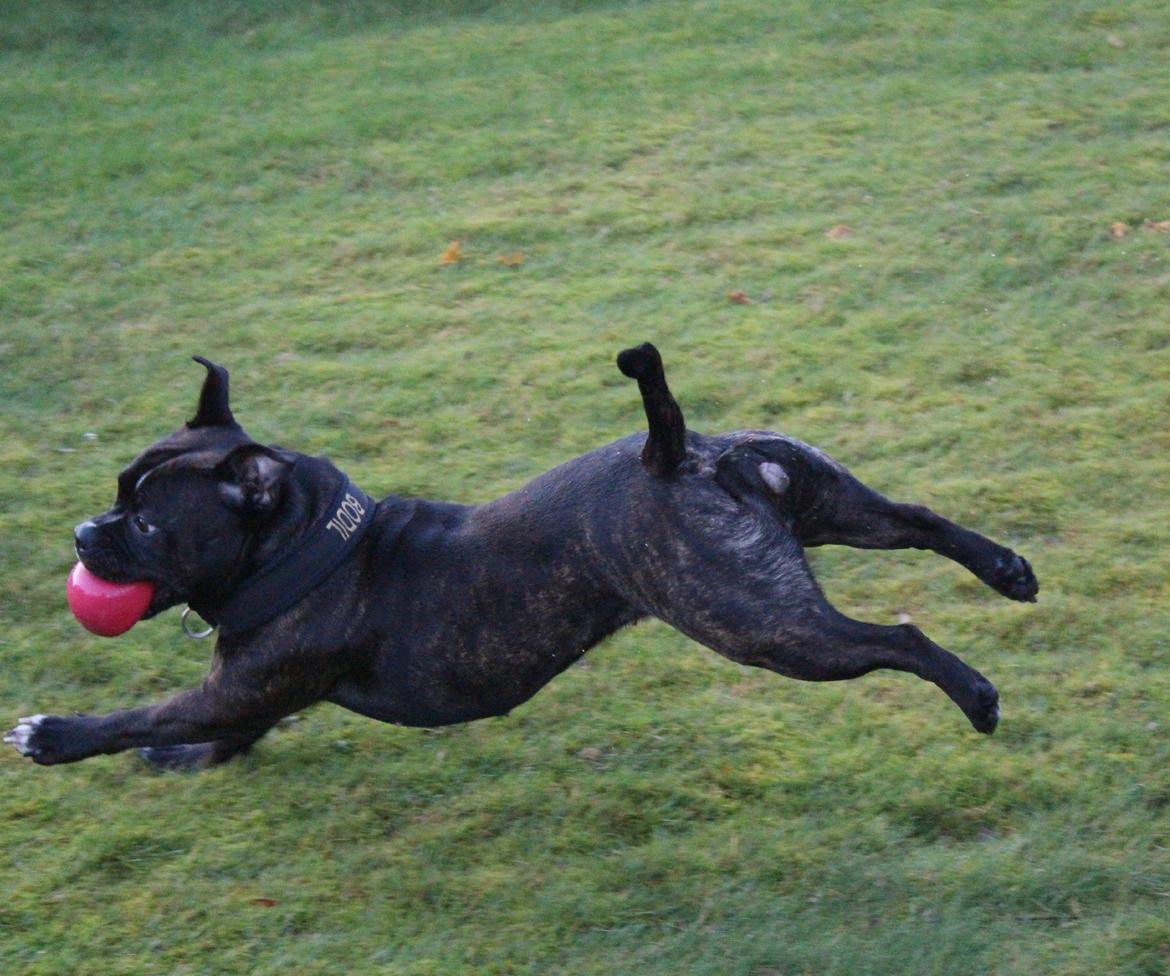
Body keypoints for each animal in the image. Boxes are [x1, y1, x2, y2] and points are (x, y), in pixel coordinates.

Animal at [4, 344, 1038, 767]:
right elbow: (214, 726)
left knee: (897, 637)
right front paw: (195, 759)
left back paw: (979, 696)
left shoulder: (240, 684)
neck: (308, 549)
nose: (82, 536)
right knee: (915, 516)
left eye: (146, 522)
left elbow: (143, 713)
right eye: (116, 489)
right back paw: (1008, 571)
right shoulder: (249, 694)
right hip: (815, 496)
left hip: (766, 626)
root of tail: (673, 450)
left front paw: (55, 737)